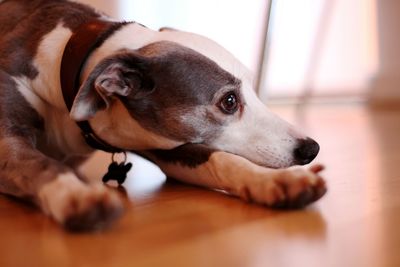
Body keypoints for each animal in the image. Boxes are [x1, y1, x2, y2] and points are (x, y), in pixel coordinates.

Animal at [0, 0, 324, 231]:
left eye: (254, 87)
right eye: (229, 101)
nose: (311, 148)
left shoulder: (162, 143)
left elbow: (220, 158)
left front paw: (276, 181)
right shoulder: (8, 144)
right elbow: (40, 164)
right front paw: (74, 195)